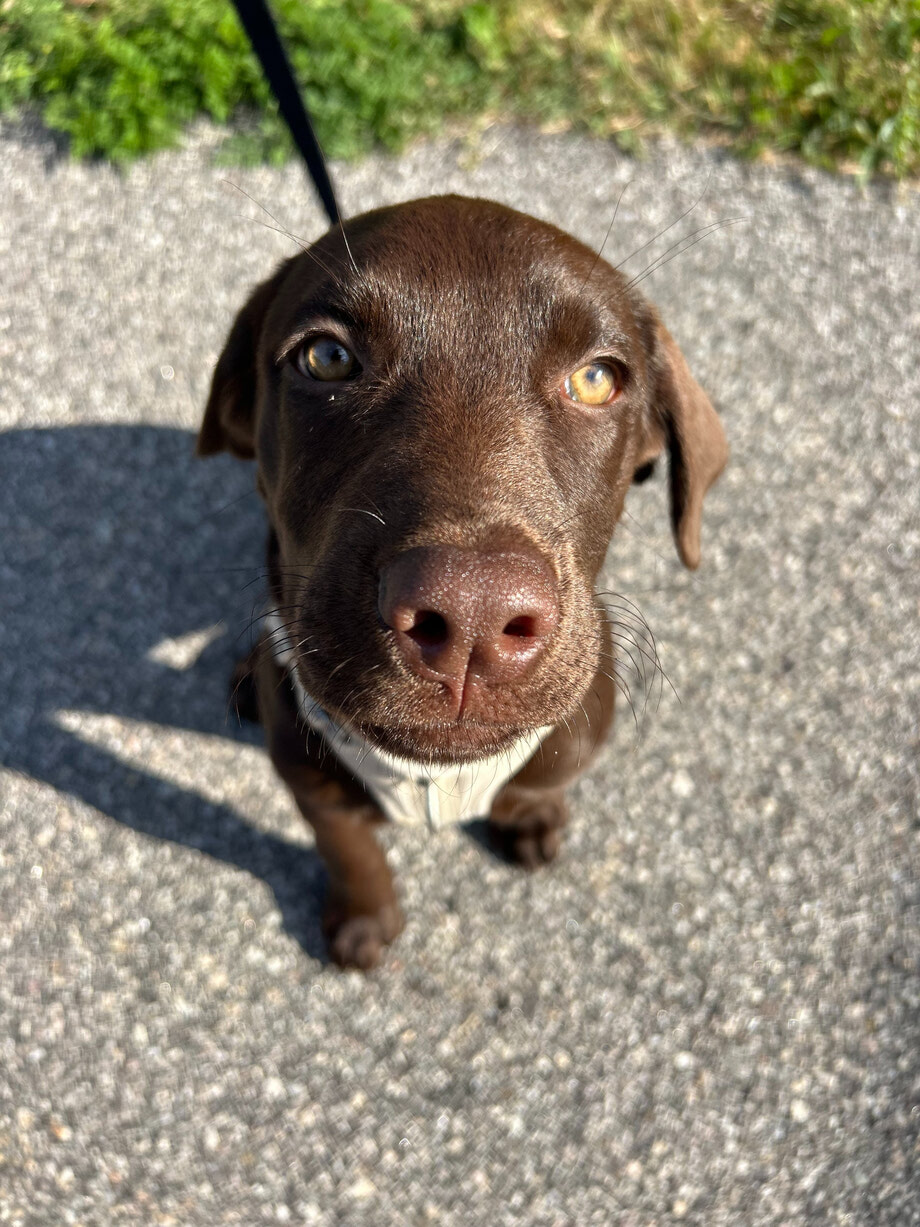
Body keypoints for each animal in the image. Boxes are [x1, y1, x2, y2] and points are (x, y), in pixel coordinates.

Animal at [198, 195, 727, 968]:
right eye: (326, 358)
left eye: (597, 378)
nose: (472, 616)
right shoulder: (310, 778)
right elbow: (347, 845)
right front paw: (365, 916)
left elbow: (538, 787)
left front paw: (530, 815)